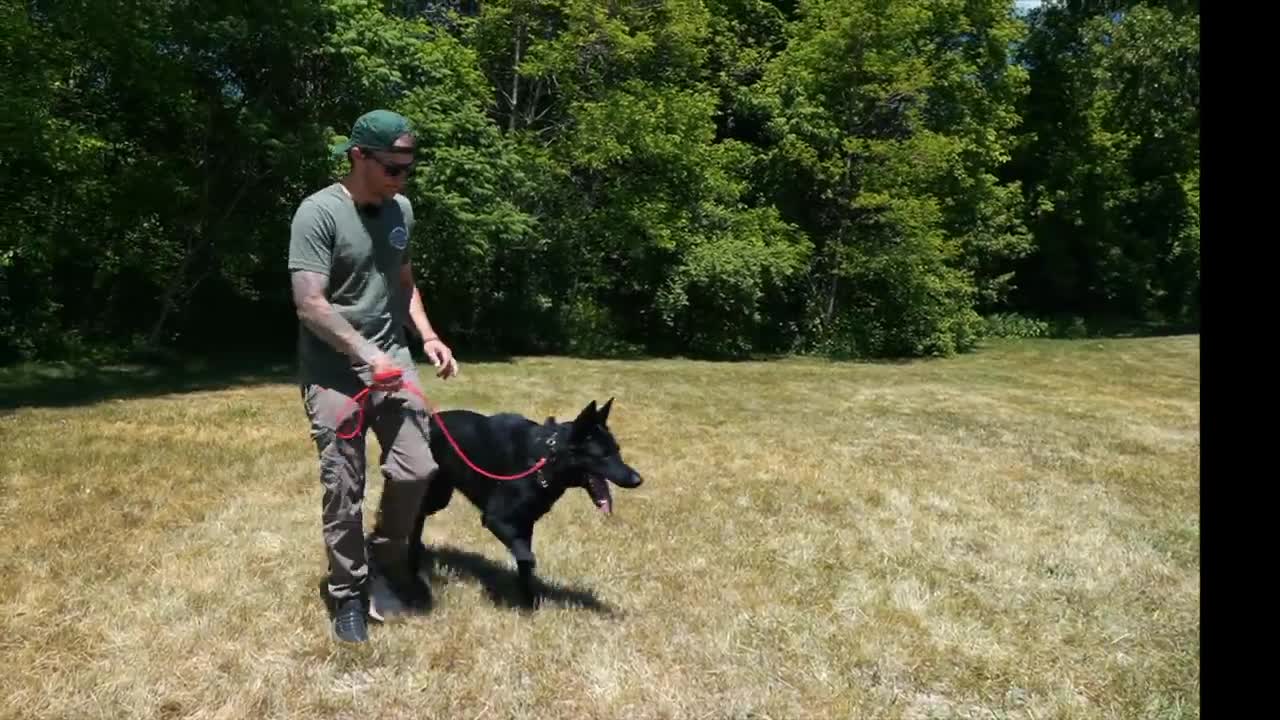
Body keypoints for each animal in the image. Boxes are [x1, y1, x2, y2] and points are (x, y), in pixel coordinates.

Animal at [409, 394, 645, 602]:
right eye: (603, 455)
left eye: (617, 450)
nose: (638, 479)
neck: (546, 458)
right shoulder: (496, 520)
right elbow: (526, 556)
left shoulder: (526, 522)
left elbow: (525, 563)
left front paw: (528, 601)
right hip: (436, 495)